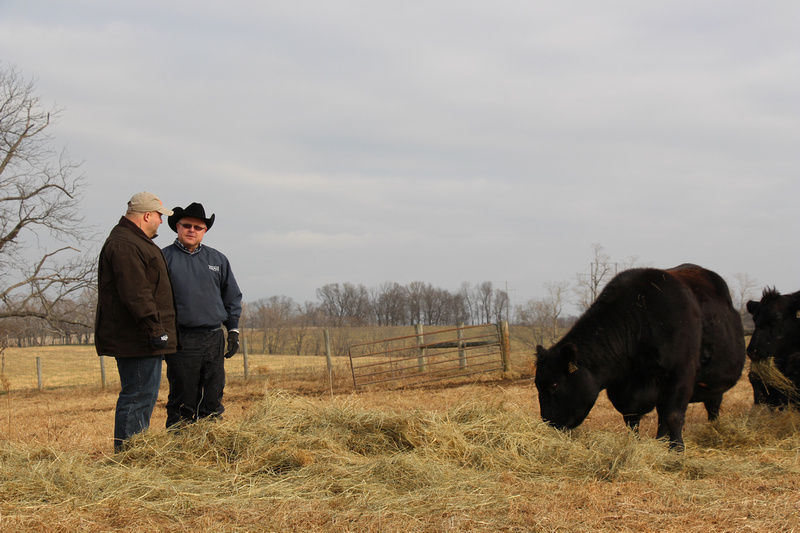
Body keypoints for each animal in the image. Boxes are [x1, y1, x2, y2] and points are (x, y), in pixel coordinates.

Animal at [536, 262, 748, 448]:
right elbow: (632, 418)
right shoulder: (622, 390)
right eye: (538, 384)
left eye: (554, 385)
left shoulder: (682, 374)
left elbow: (674, 415)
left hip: (714, 386)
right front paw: (636, 444)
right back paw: (660, 441)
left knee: (711, 408)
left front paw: (677, 450)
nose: (548, 421)